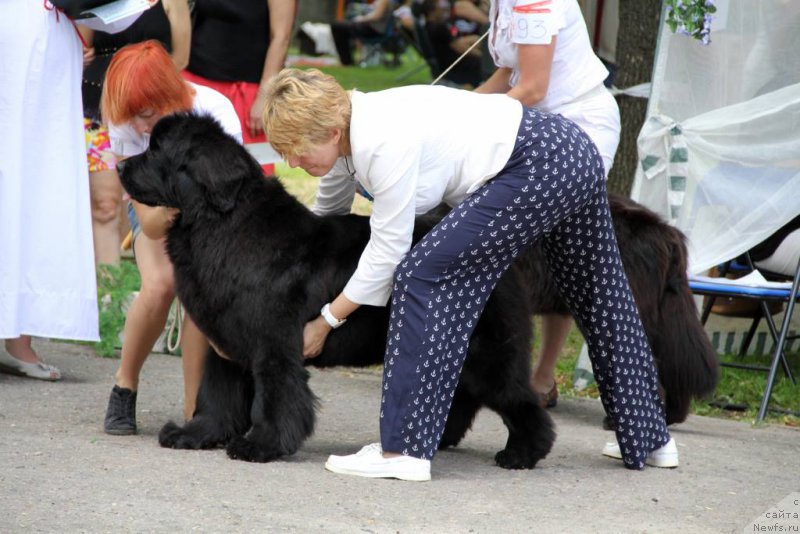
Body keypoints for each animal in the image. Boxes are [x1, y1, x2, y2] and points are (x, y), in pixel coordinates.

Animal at [120, 115, 720, 466]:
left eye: (157, 150)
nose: (121, 165)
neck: (221, 222)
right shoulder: (226, 344)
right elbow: (216, 396)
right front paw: (196, 435)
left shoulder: (273, 347)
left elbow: (276, 398)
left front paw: (260, 446)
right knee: (462, 392)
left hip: (489, 352)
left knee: (515, 398)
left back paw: (523, 453)